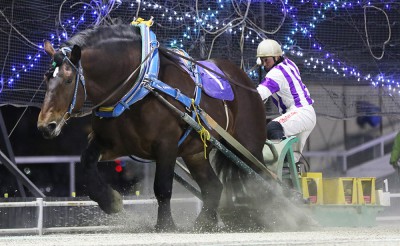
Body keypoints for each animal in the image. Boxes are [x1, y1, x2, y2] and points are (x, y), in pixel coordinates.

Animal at [37, 22, 270, 231]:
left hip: (249, 148)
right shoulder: (112, 144)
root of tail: (245, 81)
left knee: (262, 181)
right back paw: (204, 223)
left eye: (68, 80)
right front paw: (111, 201)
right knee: (213, 186)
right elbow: (86, 163)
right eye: (47, 78)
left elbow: (162, 187)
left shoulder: (166, 145)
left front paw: (165, 225)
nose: (45, 126)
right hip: (195, 153)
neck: (140, 88)